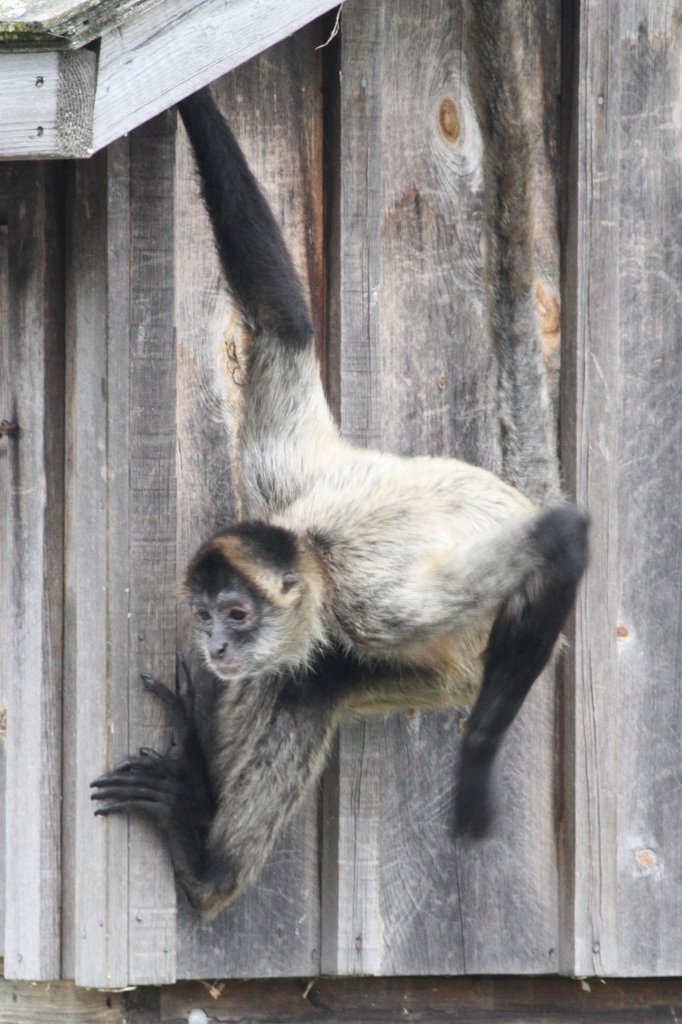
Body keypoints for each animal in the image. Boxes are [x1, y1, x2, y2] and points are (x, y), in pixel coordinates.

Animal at [93, 0, 585, 913]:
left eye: (236, 614)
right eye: (206, 614)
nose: (219, 647)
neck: (320, 554)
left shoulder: (387, 603)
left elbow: (563, 539)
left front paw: (473, 775)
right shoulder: (281, 485)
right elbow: (284, 317)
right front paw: (193, 98)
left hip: (450, 672)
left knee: (309, 686)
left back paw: (207, 863)